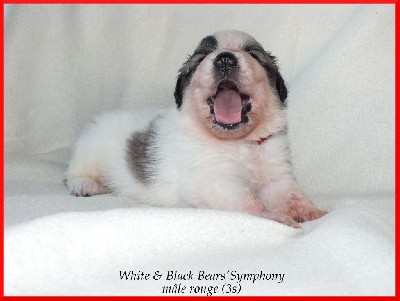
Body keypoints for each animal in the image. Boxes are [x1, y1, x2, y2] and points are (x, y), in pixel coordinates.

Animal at [66, 30, 328, 227]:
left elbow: (292, 194)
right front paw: (275, 217)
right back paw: (85, 185)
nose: (225, 58)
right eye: (202, 57)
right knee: (74, 172)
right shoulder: (213, 181)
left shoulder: (277, 173)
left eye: (252, 53)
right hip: (89, 149)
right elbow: (248, 203)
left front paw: (314, 212)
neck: (240, 144)